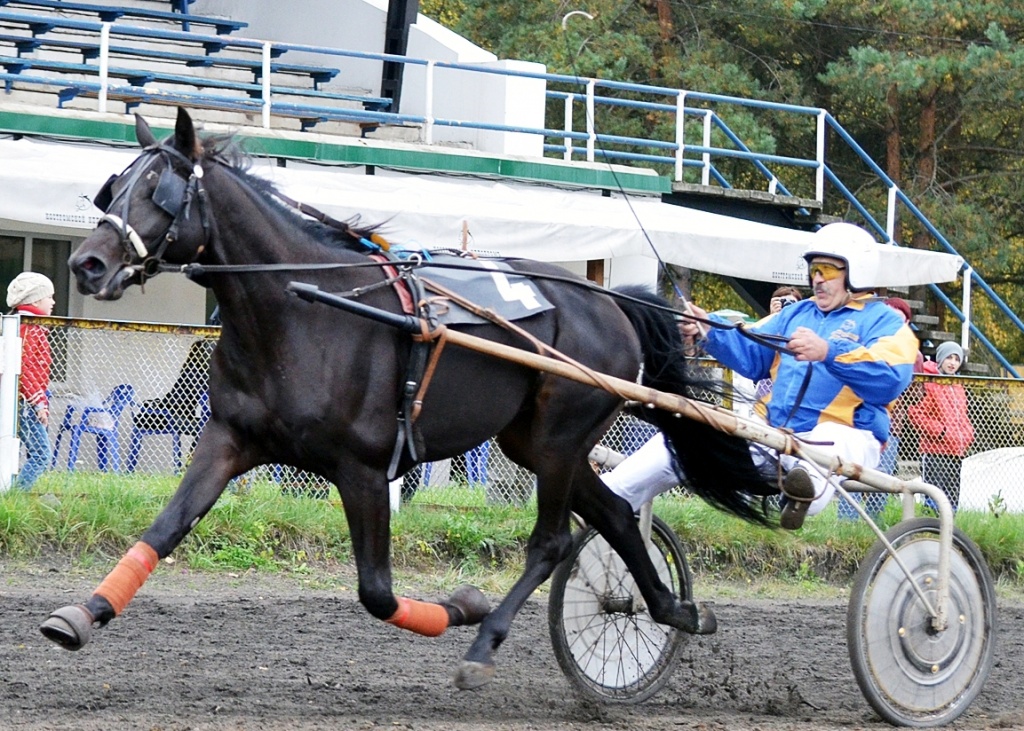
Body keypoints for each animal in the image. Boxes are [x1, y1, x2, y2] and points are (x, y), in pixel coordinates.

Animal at [44, 108, 770, 688]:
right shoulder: (229, 438)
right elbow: (164, 529)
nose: (88, 263)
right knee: (616, 515)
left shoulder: (363, 469)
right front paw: (83, 612)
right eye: (113, 187)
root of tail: (611, 304)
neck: (303, 309)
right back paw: (670, 609)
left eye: (157, 190)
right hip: (532, 442)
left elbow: (377, 592)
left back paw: (488, 640)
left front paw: (464, 606)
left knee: (553, 541)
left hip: (562, 437)